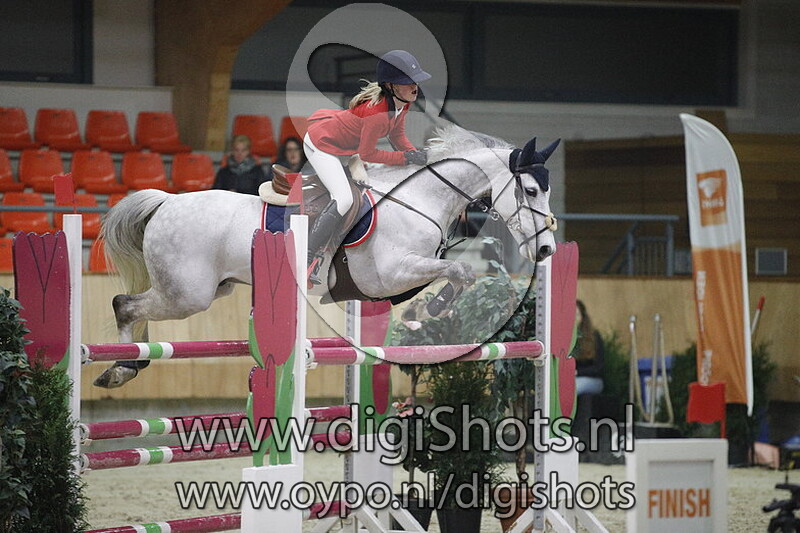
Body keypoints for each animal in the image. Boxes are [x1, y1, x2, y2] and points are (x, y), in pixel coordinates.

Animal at [95, 125, 559, 387]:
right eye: (530, 190)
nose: (547, 249)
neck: (420, 199)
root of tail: (168, 201)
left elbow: (457, 271)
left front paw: (428, 307)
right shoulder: (389, 274)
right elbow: (461, 268)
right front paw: (434, 307)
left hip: (204, 289)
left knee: (133, 309)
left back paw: (126, 364)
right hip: (188, 294)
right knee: (123, 304)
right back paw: (121, 367)